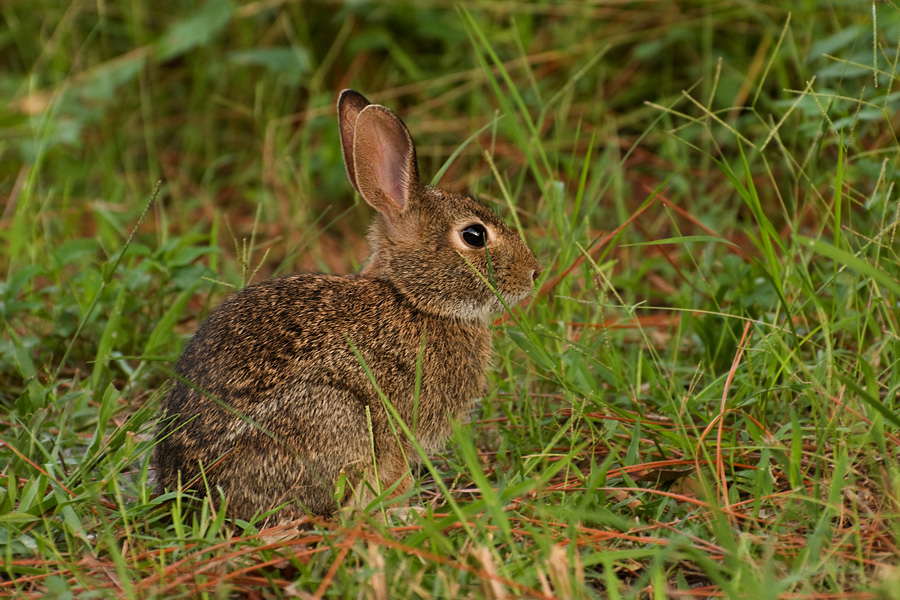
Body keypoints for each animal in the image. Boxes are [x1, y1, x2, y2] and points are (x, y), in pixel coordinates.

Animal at [151, 90, 536, 520]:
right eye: (474, 236)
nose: (534, 273)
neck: (412, 298)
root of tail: (194, 494)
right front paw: (406, 511)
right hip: (337, 417)